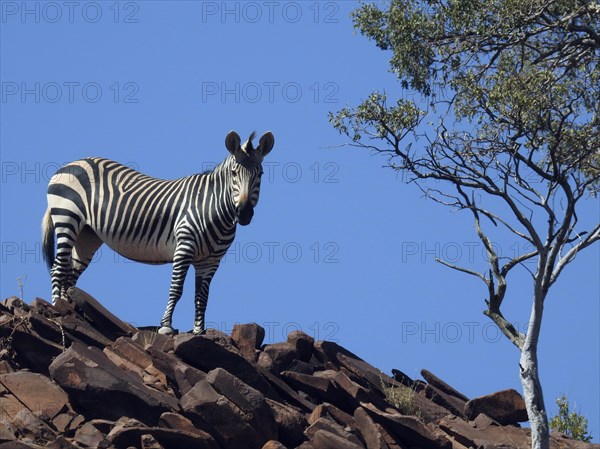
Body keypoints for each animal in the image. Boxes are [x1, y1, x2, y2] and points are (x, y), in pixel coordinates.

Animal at [41, 130, 276, 332]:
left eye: (261, 174)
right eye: (234, 173)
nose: (244, 213)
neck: (213, 208)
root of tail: (73, 163)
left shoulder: (210, 261)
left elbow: (202, 298)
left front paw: (199, 332)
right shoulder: (184, 247)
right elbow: (176, 289)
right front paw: (166, 326)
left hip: (87, 235)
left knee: (70, 273)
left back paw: (71, 308)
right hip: (67, 217)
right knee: (58, 269)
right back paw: (58, 307)